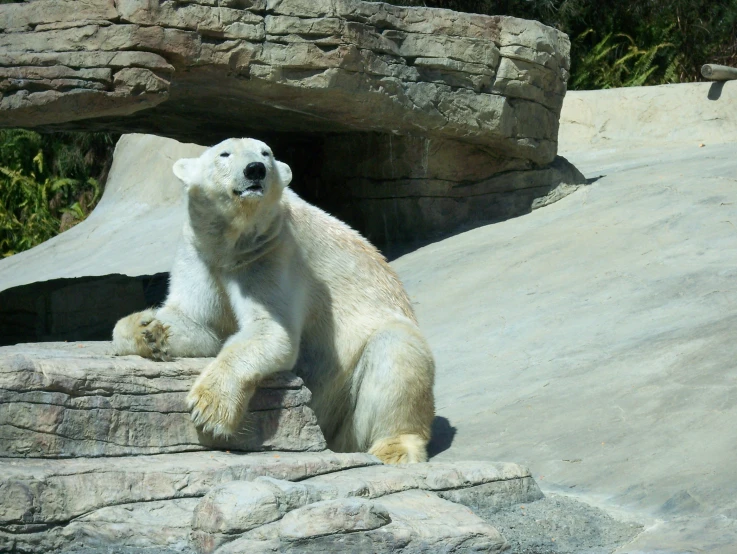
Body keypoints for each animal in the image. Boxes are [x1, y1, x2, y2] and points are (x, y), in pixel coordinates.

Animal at [112, 138, 434, 462]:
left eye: (265, 152)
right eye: (224, 154)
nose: (255, 169)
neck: (230, 243)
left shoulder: (273, 252)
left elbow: (271, 331)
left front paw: (209, 408)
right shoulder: (201, 254)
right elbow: (199, 323)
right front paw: (149, 331)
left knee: (396, 349)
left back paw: (394, 447)